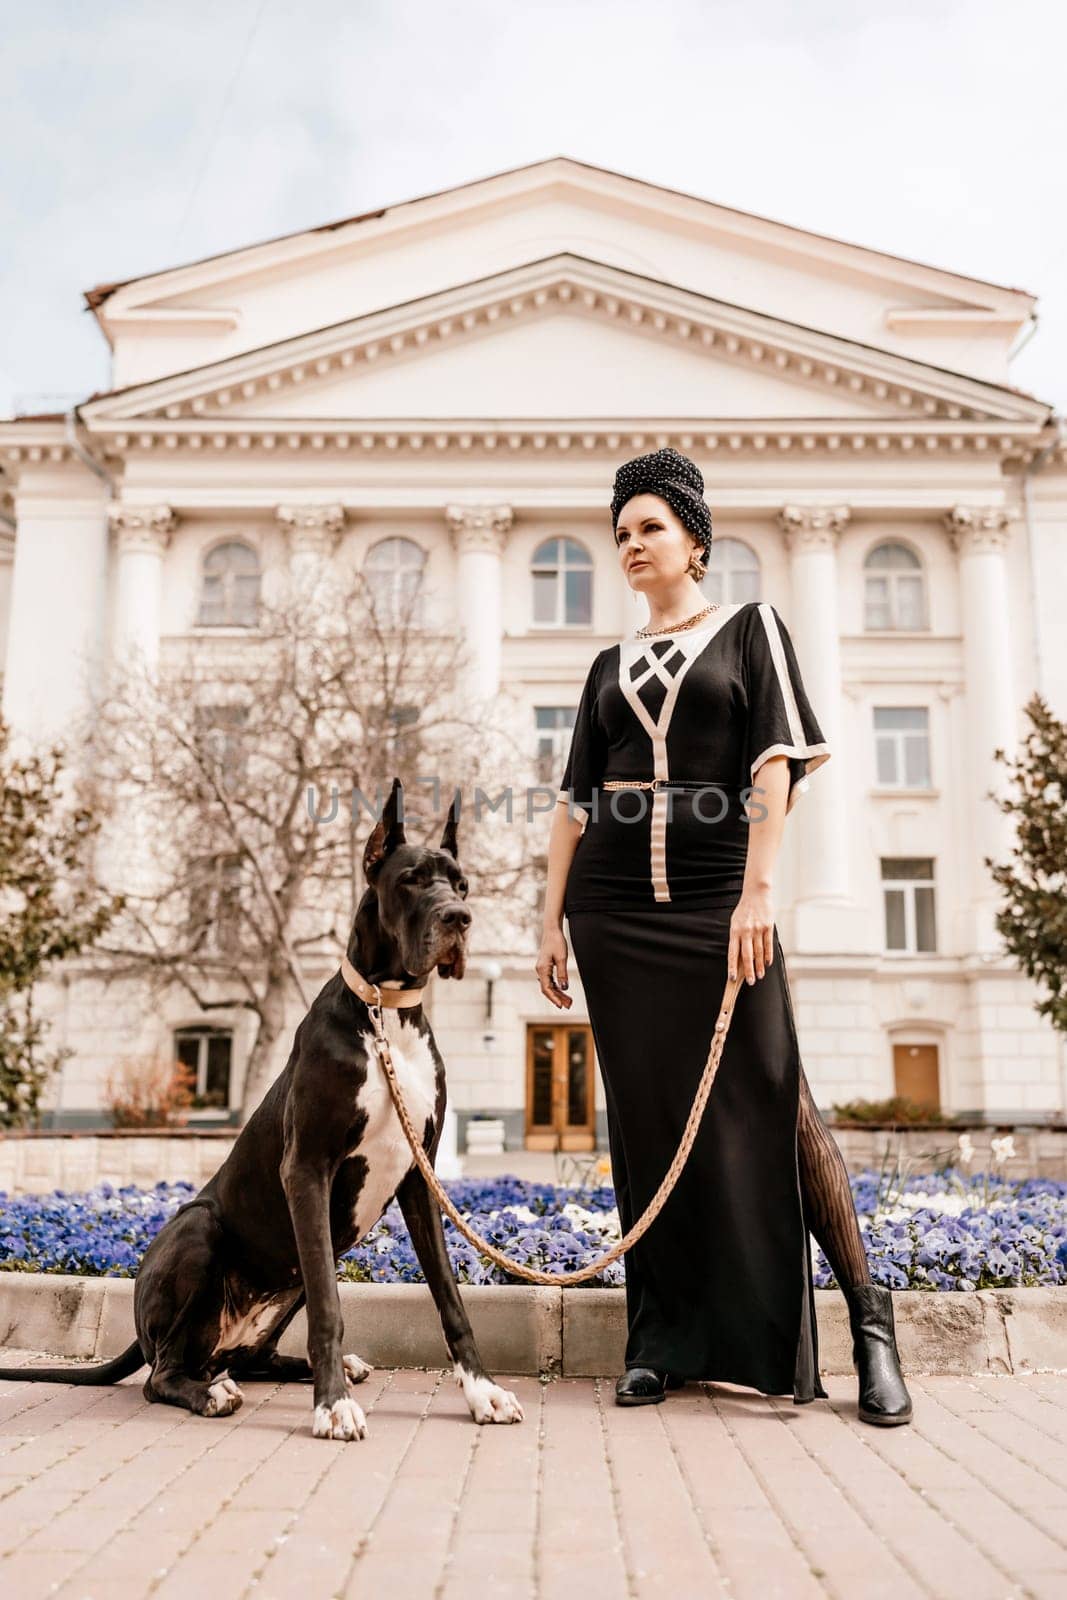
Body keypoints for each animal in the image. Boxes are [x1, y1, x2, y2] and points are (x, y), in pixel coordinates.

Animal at [0, 780, 524, 1446]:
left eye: (461, 884)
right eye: (410, 880)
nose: (458, 919)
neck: (386, 1015)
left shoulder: (418, 1177)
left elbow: (450, 1299)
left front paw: (483, 1391)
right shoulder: (307, 1170)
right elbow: (331, 1308)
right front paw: (332, 1407)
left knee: (245, 1357)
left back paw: (322, 1368)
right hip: (202, 1231)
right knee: (164, 1372)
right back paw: (213, 1393)